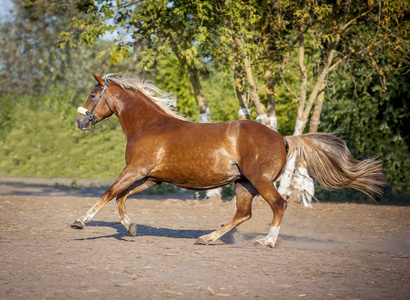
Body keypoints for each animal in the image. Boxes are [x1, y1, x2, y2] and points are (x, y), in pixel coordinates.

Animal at [71, 74, 384, 247]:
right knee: (242, 214)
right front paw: (130, 227)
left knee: (279, 205)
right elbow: (121, 197)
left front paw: (80, 222)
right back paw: (207, 238)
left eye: (93, 94)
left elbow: (109, 193)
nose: (79, 122)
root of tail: (282, 138)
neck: (149, 125)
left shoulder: (135, 169)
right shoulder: (151, 177)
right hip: (244, 184)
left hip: (259, 181)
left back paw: (267, 241)